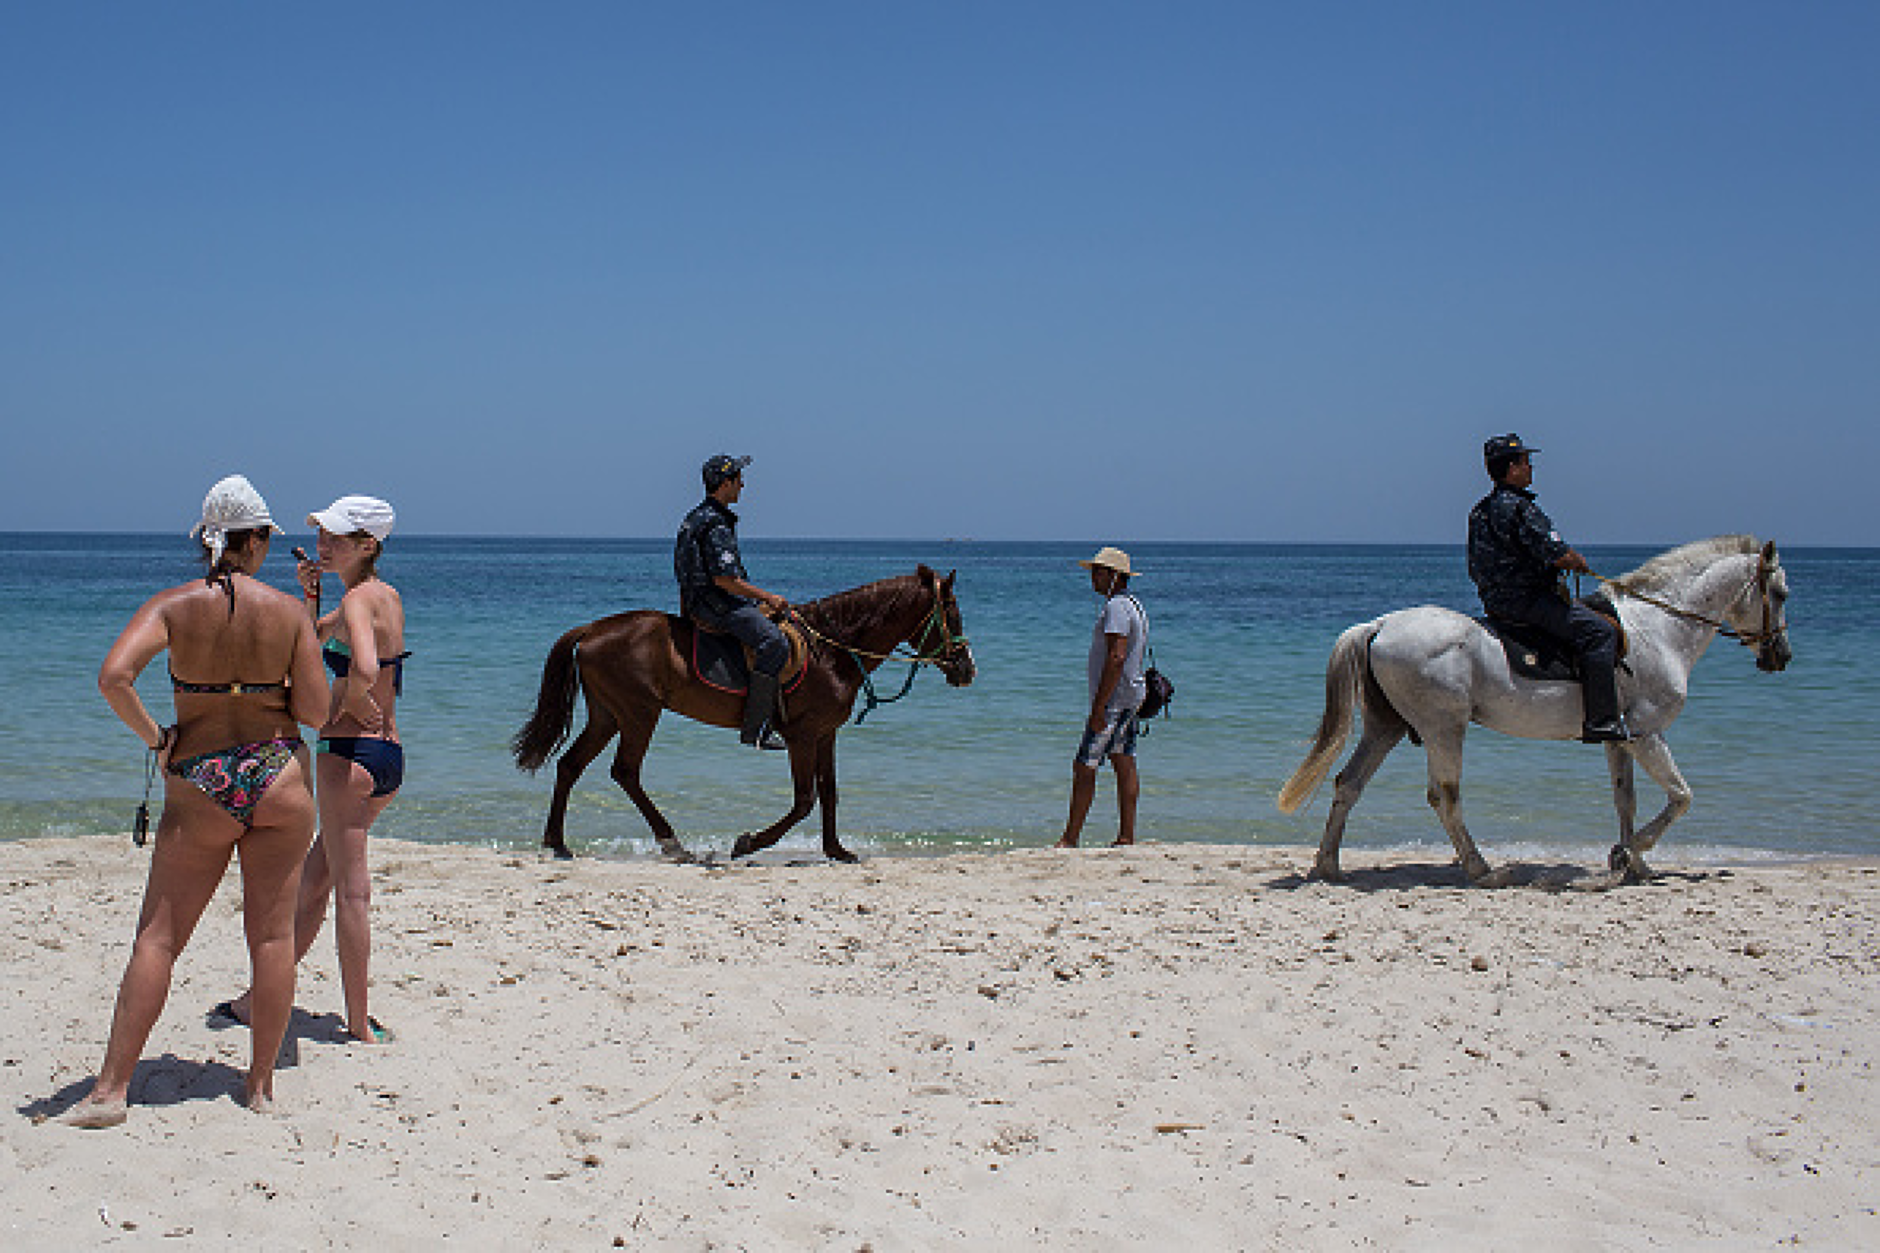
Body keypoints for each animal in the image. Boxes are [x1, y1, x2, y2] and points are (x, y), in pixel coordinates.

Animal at [518, 564, 977, 857]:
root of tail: (591, 630)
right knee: (625, 772)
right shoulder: (801, 736)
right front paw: (749, 842)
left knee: (570, 766)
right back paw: (672, 843)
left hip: (608, 716)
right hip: (638, 715)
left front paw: (836, 850)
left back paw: (557, 842)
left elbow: (829, 792)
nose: (967, 669)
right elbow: (804, 799)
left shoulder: (825, 733)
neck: (831, 650)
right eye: (953, 613)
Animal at [1278, 530, 1789, 884]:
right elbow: (1681, 796)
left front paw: (1633, 863)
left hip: (1386, 726)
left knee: (1348, 783)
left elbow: (1626, 798)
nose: (1780, 656)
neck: (1658, 630)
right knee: (1444, 796)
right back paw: (1483, 870)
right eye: (1781, 593)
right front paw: (1629, 854)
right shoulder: (1647, 733)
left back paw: (1328, 865)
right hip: (1444, 728)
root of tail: (1380, 625)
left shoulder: (1619, 738)